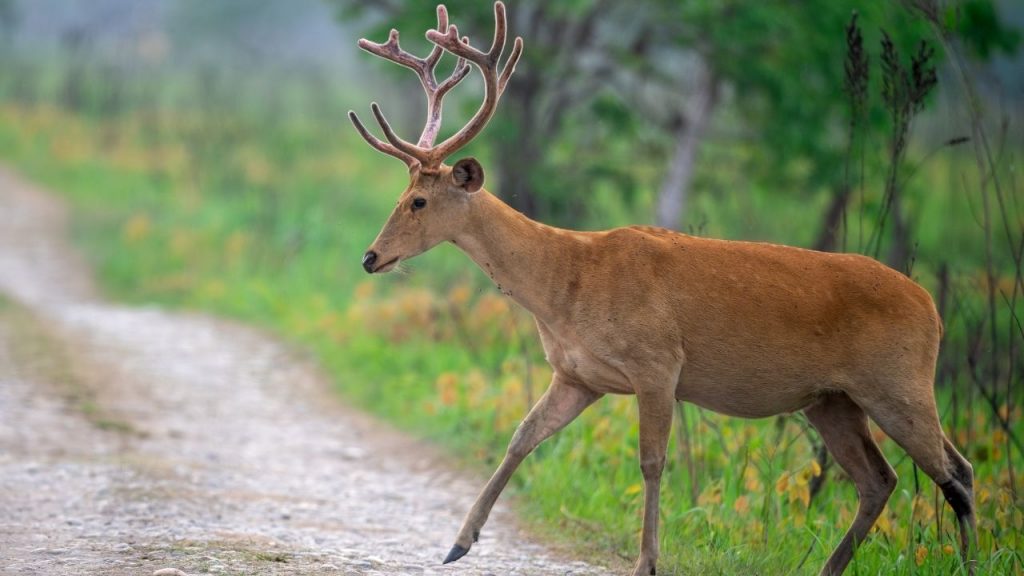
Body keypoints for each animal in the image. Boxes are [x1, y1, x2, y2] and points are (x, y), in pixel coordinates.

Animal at [348, 3, 976, 575]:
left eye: (418, 201)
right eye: (402, 195)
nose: (370, 256)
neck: (567, 284)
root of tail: (933, 307)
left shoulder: (657, 362)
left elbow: (652, 461)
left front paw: (647, 561)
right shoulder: (577, 375)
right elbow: (522, 437)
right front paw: (459, 542)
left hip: (898, 380)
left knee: (956, 473)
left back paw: (969, 562)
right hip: (833, 400)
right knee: (881, 479)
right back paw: (832, 567)